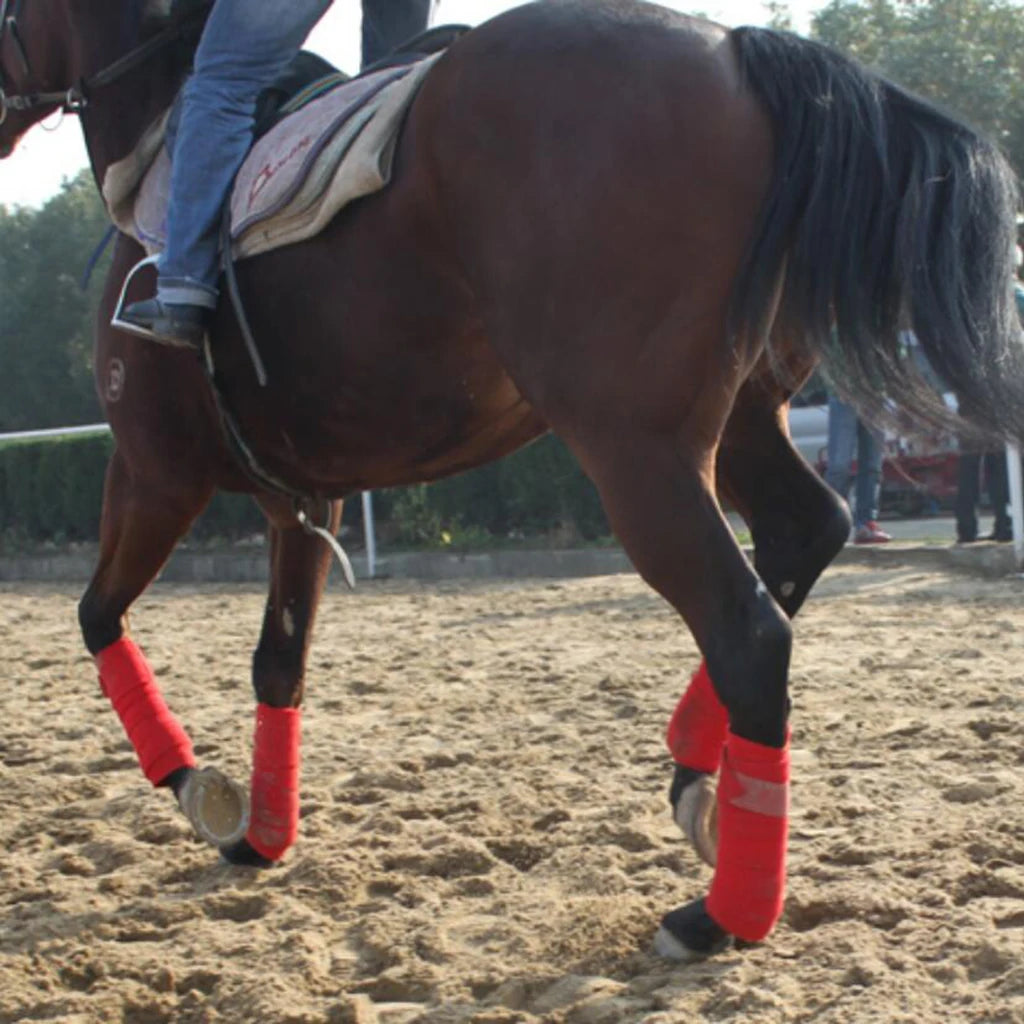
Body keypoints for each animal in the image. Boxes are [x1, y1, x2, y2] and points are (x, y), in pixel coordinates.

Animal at [2, 0, 1024, 958]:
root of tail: (734, 47)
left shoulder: (153, 470)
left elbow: (96, 616)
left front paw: (198, 789)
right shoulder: (300, 494)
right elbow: (277, 660)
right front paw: (262, 832)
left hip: (634, 444)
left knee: (749, 627)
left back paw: (721, 914)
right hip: (741, 417)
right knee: (805, 531)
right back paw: (700, 777)